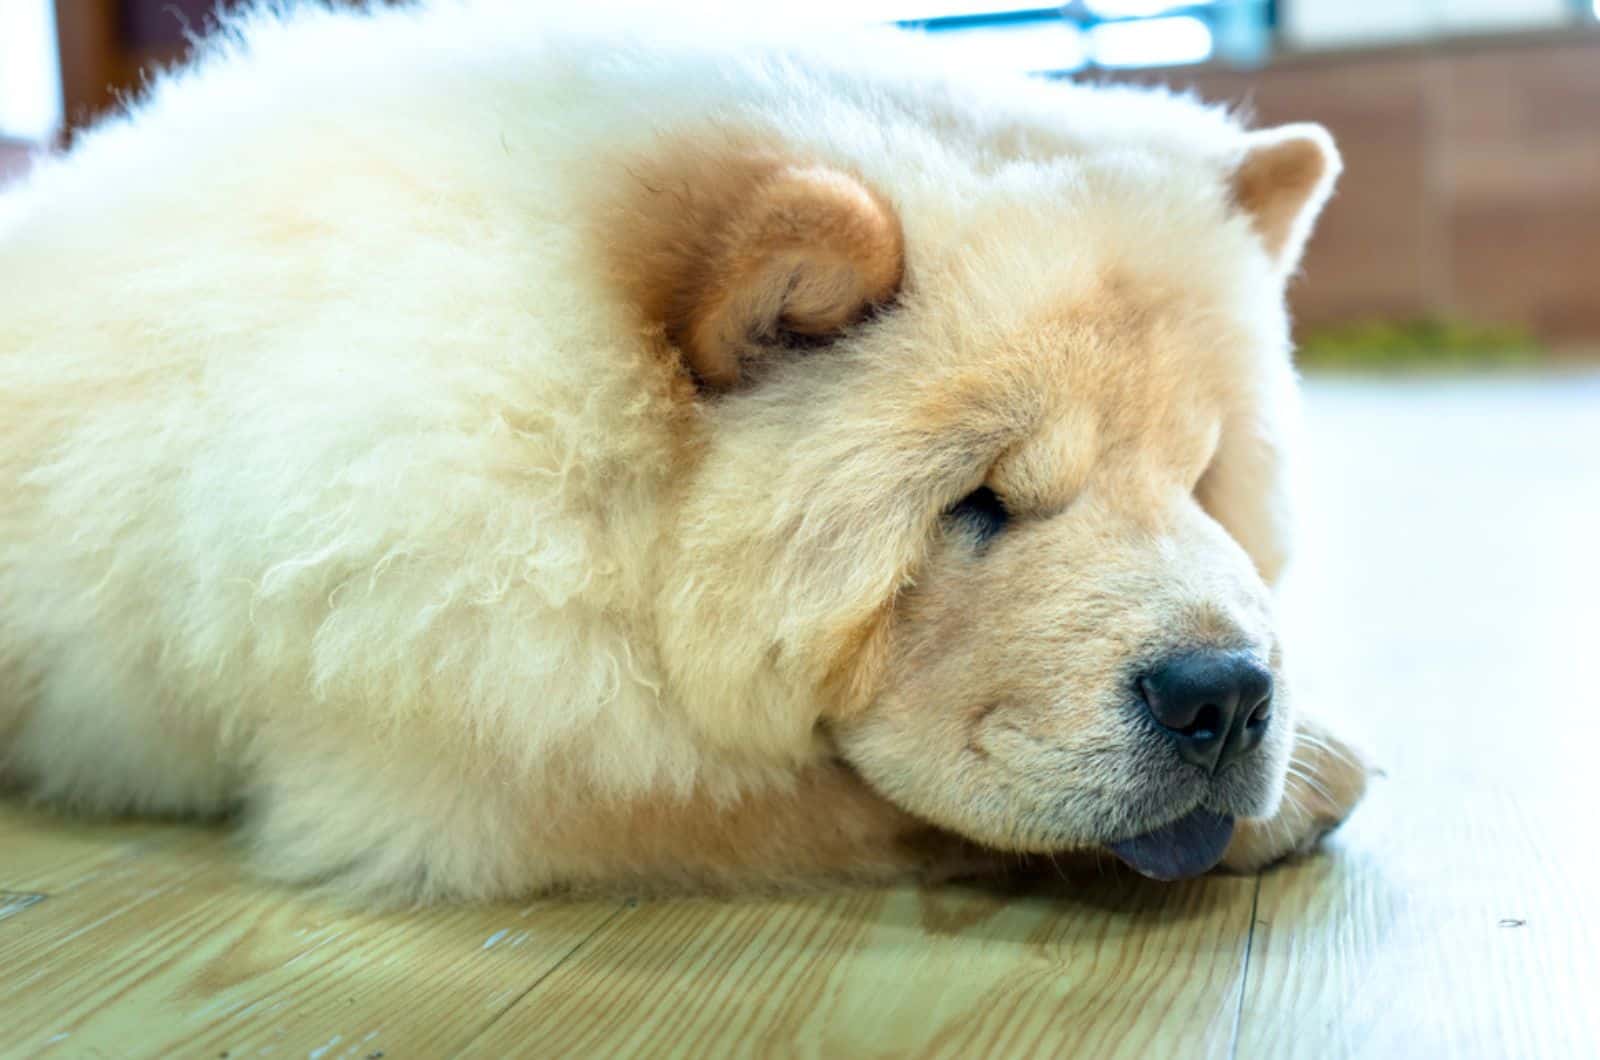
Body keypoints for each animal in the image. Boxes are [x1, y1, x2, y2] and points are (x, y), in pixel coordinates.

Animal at [3, 0, 1363, 903]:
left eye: (1201, 483)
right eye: (975, 503)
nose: (1225, 695)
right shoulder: (452, 754)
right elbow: (799, 799)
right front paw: (1307, 785)